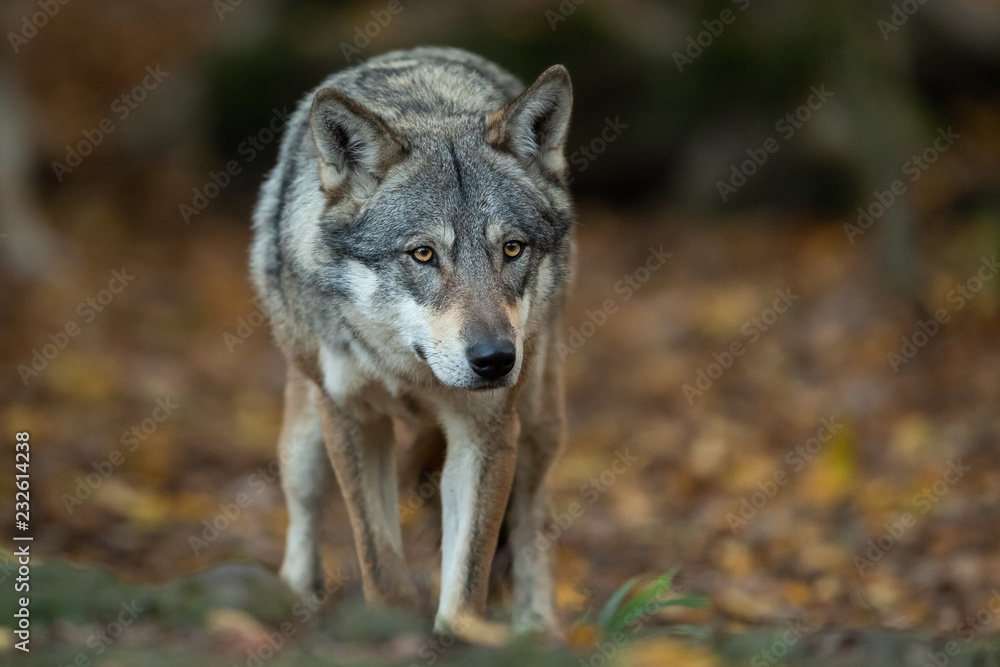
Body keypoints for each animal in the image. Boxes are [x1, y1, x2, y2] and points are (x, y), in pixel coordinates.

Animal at [249, 47, 576, 636]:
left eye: (512, 249)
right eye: (423, 254)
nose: (496, 360)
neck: (408, 370)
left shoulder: (488, 432)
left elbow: (467, 579)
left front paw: (461, 638)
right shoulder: (352, 419)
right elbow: (380, 562)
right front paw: (389, 629)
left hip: (540, 424)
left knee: (533, 517)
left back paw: (537, 627)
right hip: (305, 437)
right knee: (303, 505)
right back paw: (294, 595)